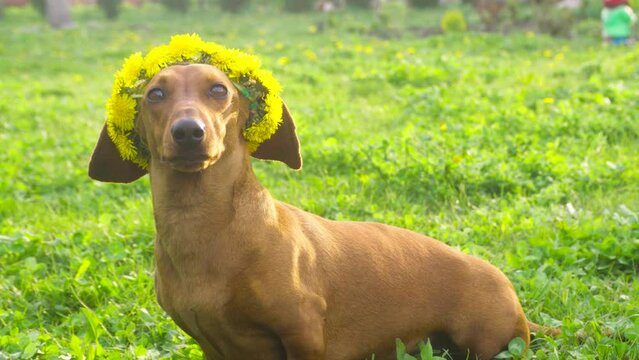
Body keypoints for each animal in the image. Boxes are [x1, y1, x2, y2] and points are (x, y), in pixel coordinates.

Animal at [89, 63, 528, 358]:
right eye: (155, 95)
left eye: (218, 89)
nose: (188, 133)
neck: (206, 228)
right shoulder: (209, 343)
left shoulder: (302, 331)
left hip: (484, 341)